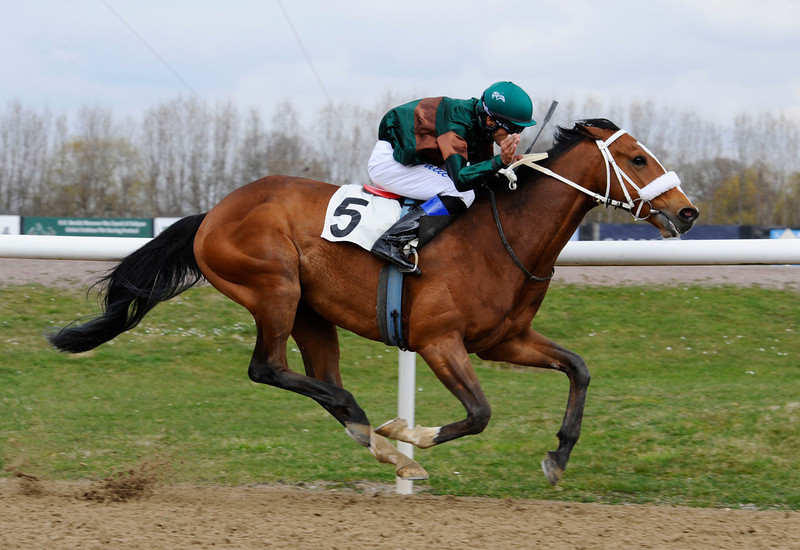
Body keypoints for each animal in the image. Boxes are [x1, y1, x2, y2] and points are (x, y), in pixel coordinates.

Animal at [51, 119, 700, 488]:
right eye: (637, 159)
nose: (688, 211)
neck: (502, 236)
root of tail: (214, 212)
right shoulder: (438, 341)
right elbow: (480, 413)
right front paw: (415, 433)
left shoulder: (504, 341)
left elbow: (579, 369)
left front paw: (558, 456)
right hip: (274, 288)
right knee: (269, 368)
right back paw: (381, 432)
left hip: (312, 313)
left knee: (316, 378)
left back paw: (381, 446)